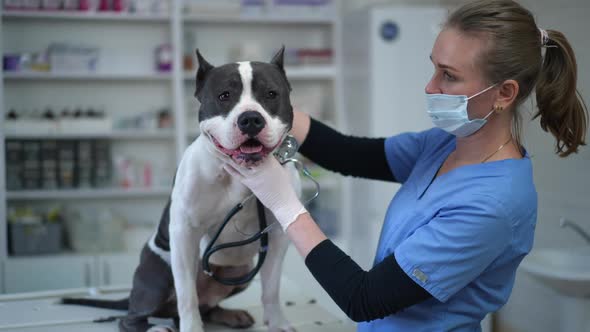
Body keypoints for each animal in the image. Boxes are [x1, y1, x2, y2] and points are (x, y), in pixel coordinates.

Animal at [63, 47, 300, 332]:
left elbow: (271, 288)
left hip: (241, 273)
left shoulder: (277, 236)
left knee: (205, 307)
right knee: (134, 317)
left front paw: (277, 323)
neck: (239, 173)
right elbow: (187, 295)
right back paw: (155, 326)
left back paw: (229, 315)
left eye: (271, 94)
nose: (251, 119)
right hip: (158, 276)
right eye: (224, 95)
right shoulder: (184, 234)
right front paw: (191, 328)